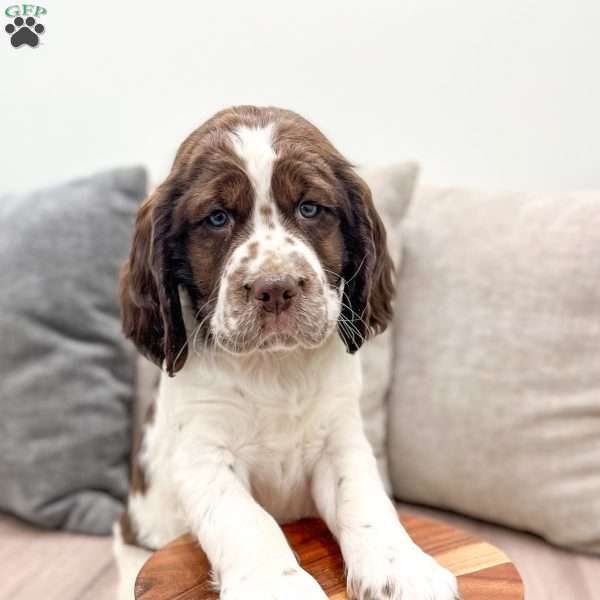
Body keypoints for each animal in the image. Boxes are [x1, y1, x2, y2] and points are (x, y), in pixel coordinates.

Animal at [115, 105, 458, 596]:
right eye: (217, 218)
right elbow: (246, 519)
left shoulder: (340, 436)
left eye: (310, 208)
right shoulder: (203, 453)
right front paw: (274, 586)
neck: (275, 366)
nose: (274, 288)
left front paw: (403, 569)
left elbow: (365, 499)